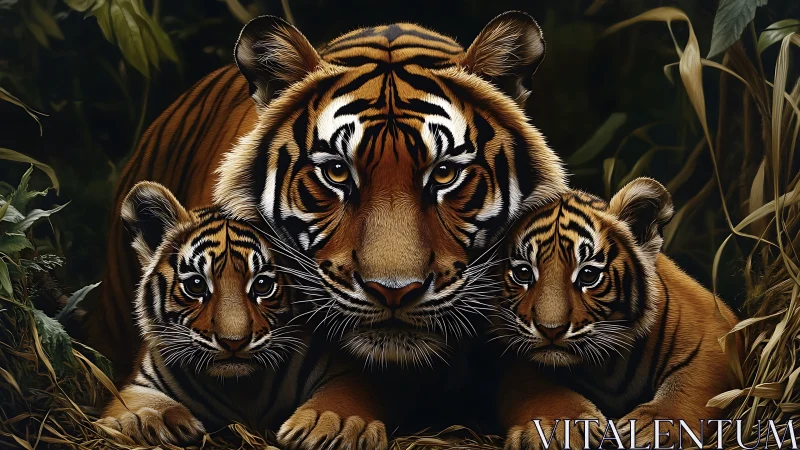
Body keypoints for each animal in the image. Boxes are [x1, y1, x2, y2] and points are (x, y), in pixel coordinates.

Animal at [97, 182, 387, 449]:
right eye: (196, 285)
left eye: (262, 285)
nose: (233, 342)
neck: (241, 389)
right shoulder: (140, 383)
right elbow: (132, 403)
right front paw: (145, 419)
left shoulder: (342, 371)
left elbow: (345, 394)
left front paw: (334, 424)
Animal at [492, 178, 739, 450]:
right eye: (523, 273)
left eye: (588, 275)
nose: (550, 330)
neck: (606, 368)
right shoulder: (516, 364)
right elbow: (535, 390)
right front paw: (553, 430)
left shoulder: (713, 332)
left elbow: (693, 384)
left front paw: (656, 428)